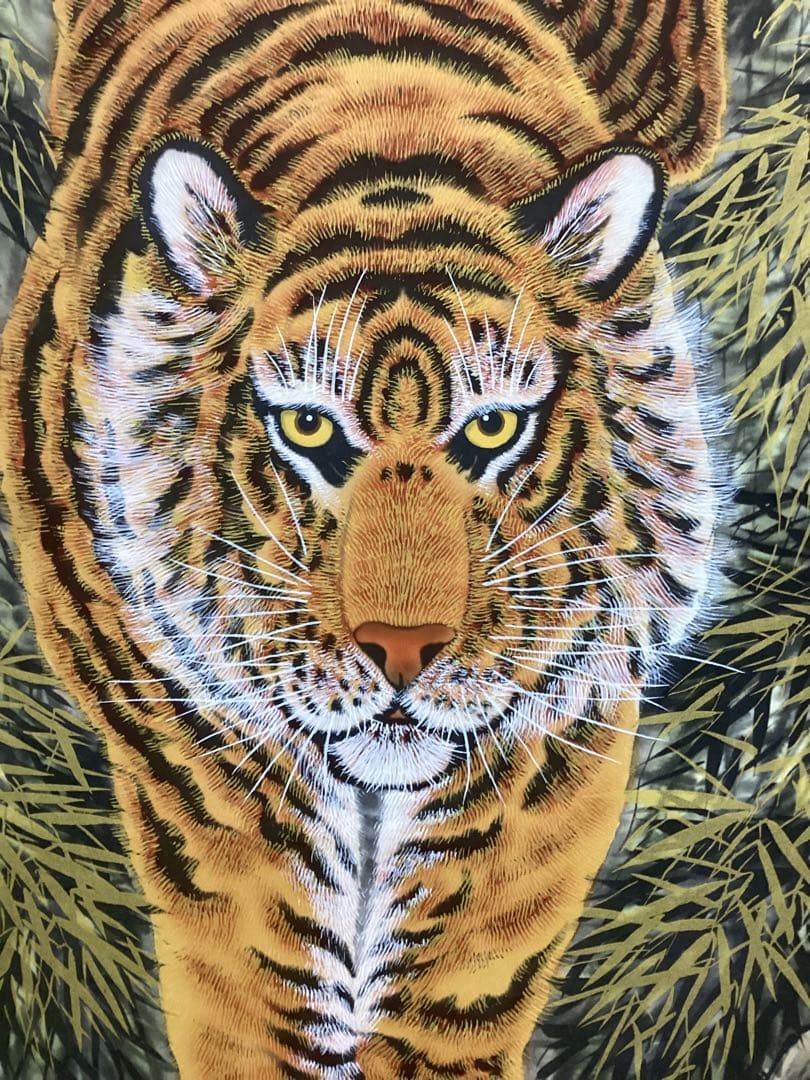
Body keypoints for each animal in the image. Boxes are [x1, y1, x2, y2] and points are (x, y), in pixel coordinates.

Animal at [0, 0, 726, 1076]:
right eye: (308, 428)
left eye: (491, 429)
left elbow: (450, 983)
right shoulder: (191, 737)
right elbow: (264, 978)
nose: (402, 650)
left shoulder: (557, 724)